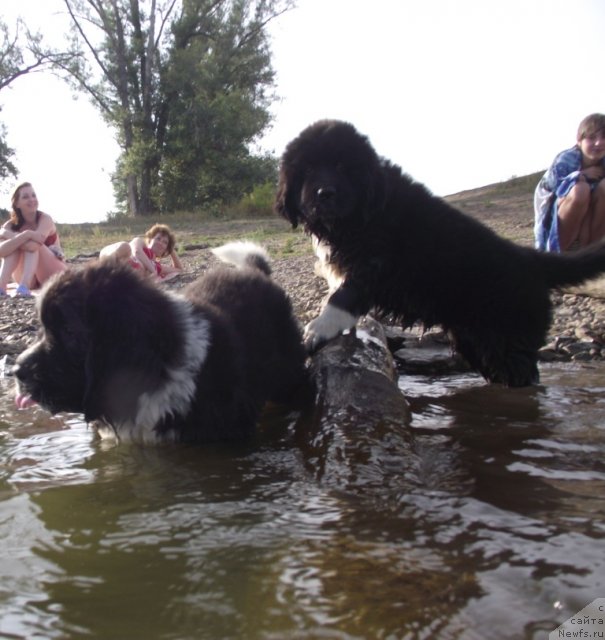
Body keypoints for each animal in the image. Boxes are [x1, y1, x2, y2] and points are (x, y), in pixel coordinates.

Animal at [278, 122, 605, 388]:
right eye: (307, 170)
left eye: (343, 167)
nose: (324, 193)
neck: (356, 219)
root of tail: (528, 258)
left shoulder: (376, 262)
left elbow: (343, 296)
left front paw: (319, 328)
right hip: (478, 340)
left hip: (507, 339)